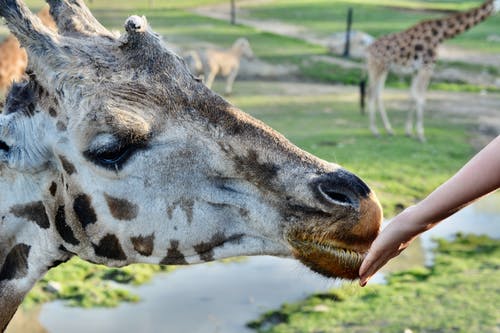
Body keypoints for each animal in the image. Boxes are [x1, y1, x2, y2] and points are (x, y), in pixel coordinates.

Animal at [364, 0, 500, 141]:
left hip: (383, 68)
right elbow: (421, 98)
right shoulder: (427, 66)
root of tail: (368, 49)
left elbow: (413, 96)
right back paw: (375, 131)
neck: (440, 35)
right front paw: (421, 135)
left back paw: (389, 130)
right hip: (377, 66)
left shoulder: (417, 70)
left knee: (378, 94)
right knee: (371, 92)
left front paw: (409, 132)